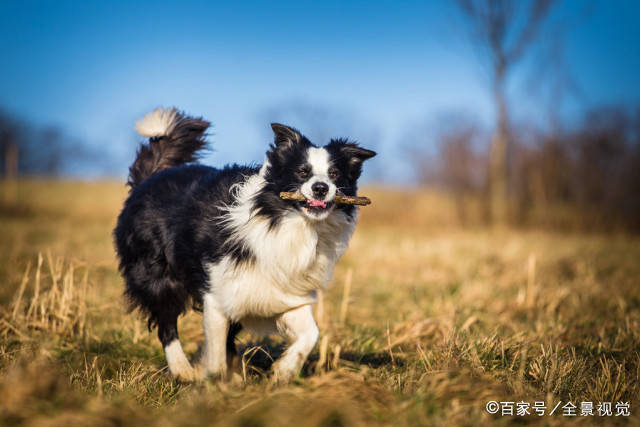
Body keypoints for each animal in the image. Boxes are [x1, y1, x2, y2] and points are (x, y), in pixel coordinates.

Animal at [114, 108, 376, 382]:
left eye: (334, 174)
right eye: (302, 172)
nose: (321, 188)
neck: (291, 224)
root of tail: (151, 177)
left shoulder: (283, 292)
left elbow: (310, 334)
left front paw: (283, 371)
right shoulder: (217, 292)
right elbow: (216, 352)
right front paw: (215, 381)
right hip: (157, 276)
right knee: (166, 323)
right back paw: (182, 370)